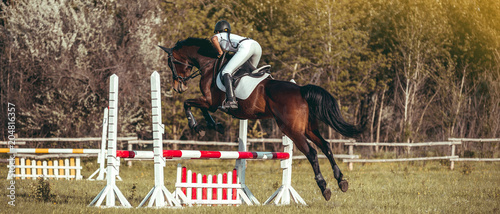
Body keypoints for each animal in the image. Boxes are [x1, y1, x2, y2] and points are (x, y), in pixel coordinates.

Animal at [160, 37, 368, 201]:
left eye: (172, 63)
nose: (178, 87)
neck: (210, 65)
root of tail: (301, 90)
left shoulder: (210, 101)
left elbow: (188, 104)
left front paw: (197, 127)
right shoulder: (211, 103)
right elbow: (201, 109)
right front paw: (214, 125)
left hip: (292, 130)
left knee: (312, 153)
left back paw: (324, 188)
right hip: (308, 128)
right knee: (326, 146)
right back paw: (341, 181)